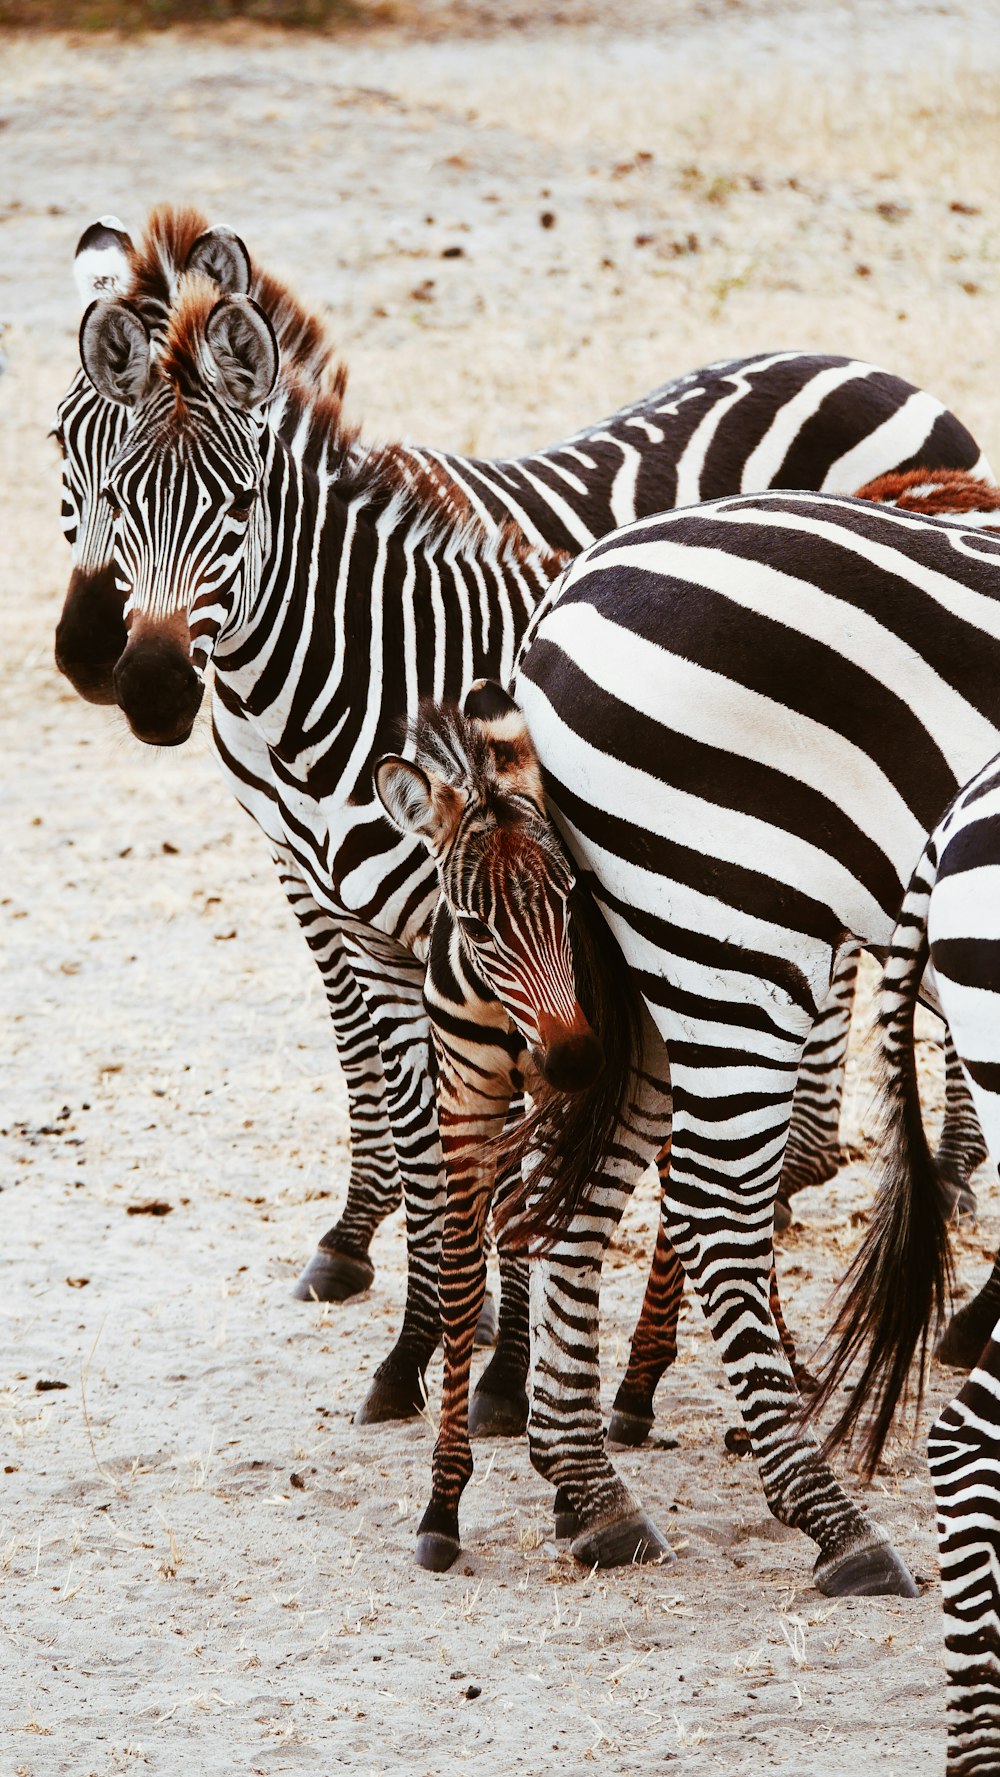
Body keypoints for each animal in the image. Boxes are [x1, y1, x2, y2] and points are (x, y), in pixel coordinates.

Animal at [376, 682, 813, 1570]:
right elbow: (468, 1271)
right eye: (476, 925)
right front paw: (445, 1502)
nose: (579, 1057)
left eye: (572, 899)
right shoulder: (466, 1100)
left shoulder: (564, 1091)